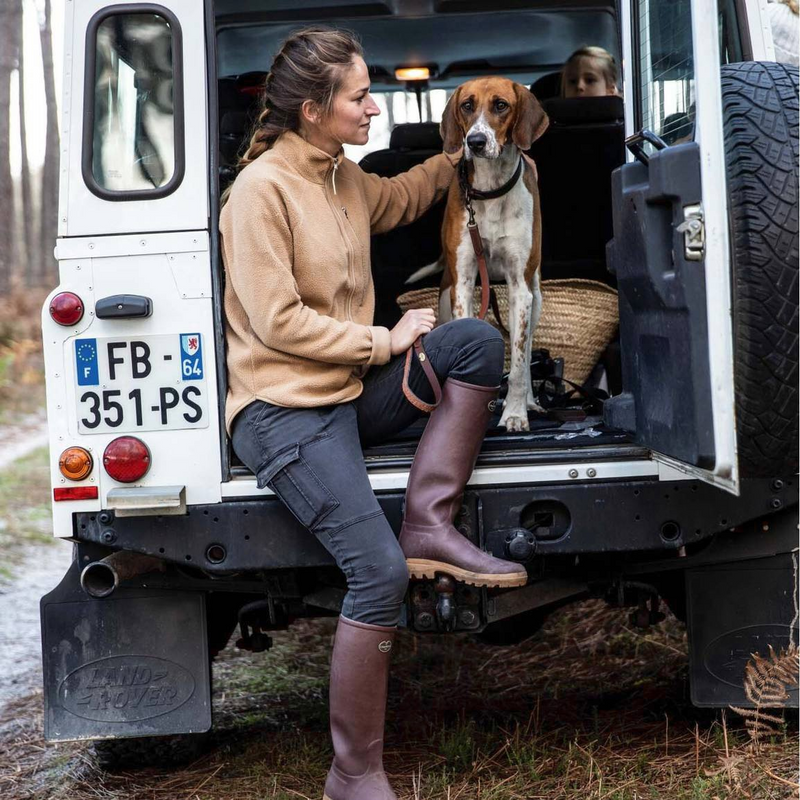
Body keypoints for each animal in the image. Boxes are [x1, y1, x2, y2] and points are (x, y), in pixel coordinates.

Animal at [424, 76, 552, 432]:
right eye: (467, 105)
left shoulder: (520, 289)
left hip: (535, 298)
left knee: (528, 351)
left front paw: (515, 413)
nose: (476, 141)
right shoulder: (464, 284)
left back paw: (530, 402)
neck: (491, 189)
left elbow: (520, 363)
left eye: (501, 105)